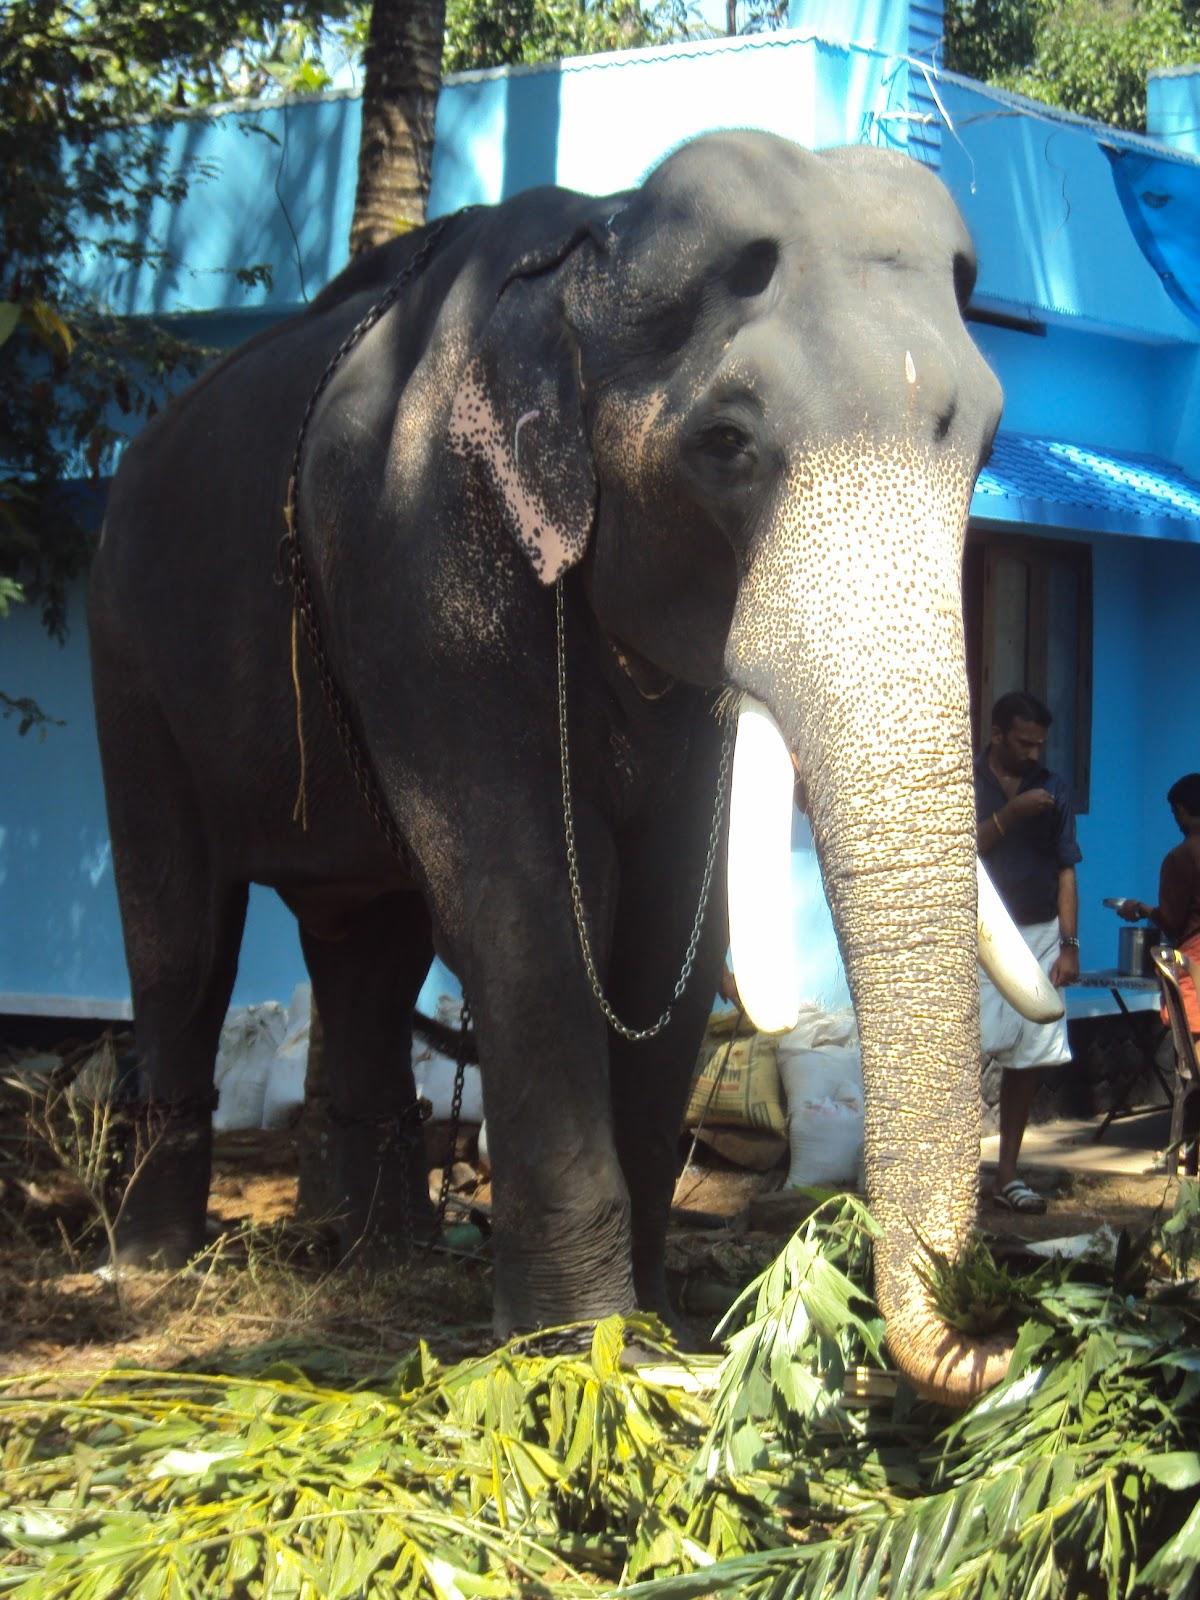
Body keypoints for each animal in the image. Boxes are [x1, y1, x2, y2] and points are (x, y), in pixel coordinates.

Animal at [89, 128, 1049, 1404]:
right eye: (726, 443)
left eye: (985, 443)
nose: (992, 1332)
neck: (604, 242)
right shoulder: (419, 559)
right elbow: (527, 905)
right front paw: (580, 1346)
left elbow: (671, 925)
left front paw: (654, 1328)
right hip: (127, 648)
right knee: (182, 932)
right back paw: (153, 1261)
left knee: (365, 943)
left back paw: (379, 1254)